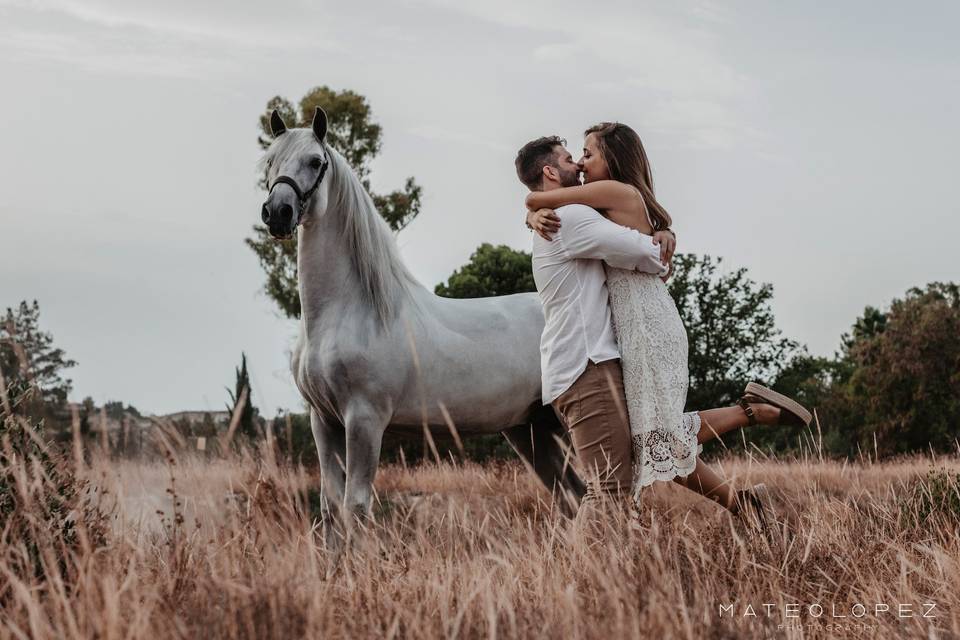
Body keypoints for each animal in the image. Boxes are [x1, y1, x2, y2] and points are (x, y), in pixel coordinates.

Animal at [256, 109, 584, 544]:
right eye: (270, 162)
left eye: (314, 161)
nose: (278, 212)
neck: (348, 311)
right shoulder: (323, 422)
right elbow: (330, 509)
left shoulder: (364, 421)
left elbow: (356, 507)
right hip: (532, 430)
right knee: (574, 496)